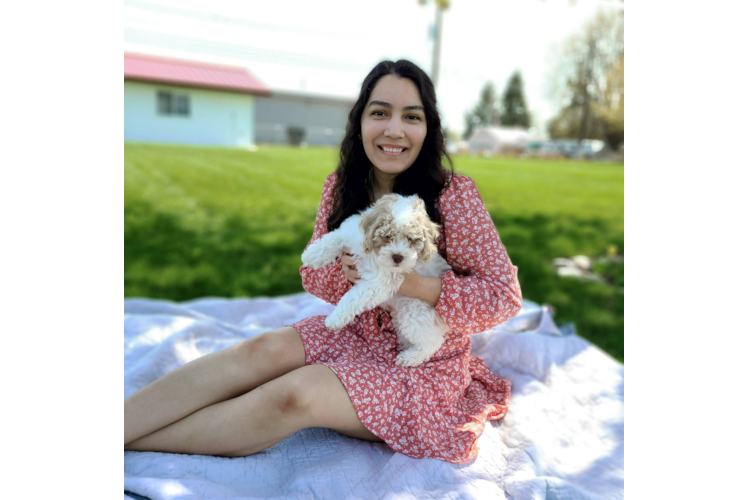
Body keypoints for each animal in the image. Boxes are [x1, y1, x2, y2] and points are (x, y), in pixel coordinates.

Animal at [302, 192, 452, 368]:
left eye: (411, 239)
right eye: (387, 236)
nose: (398, 257)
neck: (374, 254)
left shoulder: (378, 284)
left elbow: (352, 298)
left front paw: (335, 319)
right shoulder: (352, 234)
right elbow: (334, 238)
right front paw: (311, 255)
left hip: (414, 312)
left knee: (432, 342)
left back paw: (409, 357)